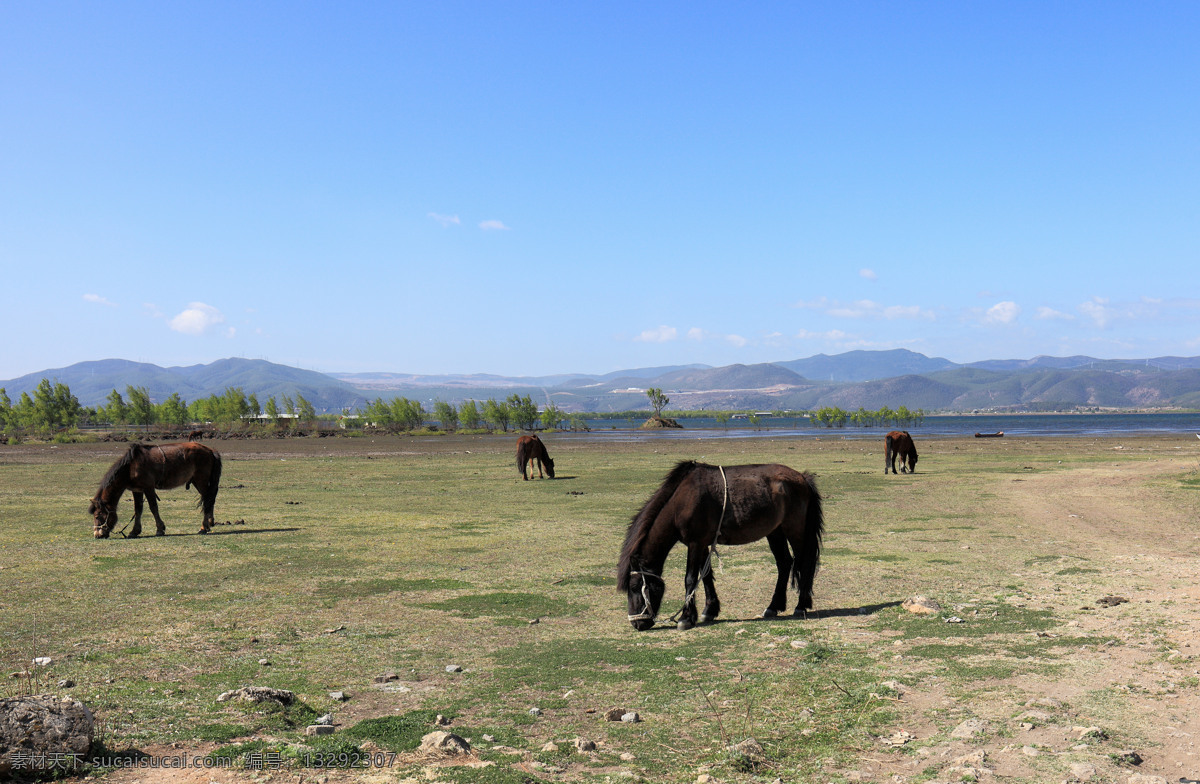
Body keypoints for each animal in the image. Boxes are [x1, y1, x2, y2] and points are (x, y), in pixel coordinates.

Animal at [89, 441, 222, 538]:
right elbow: (138, 510)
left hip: (201, 481)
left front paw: (159, 529)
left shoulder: (148, 488)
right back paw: (209, 523)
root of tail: (211, 450)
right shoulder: (137, 490)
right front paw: (134, 531)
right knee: (208, 500)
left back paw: (203, 527)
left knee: (207, 501)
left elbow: (153, 507)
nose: (97, 535)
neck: (131, 467)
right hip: (196, 481)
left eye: (97, 516)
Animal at [617, 461, 824, 631]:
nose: (637, 624)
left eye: (635, 587)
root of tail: (802, 478)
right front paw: (709, 611)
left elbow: (690, 579)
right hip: (775, 532)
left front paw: (685, 618)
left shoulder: (695, 543)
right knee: (784, 563)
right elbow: (706, 575)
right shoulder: (703, 544)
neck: (681, 502)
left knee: (804, 563)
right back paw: (773, 607)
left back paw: (801, 606)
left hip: (795, 530)